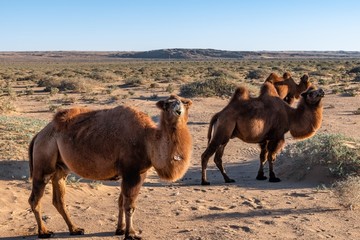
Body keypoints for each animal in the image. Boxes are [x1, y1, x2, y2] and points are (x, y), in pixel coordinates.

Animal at [28, 94, 193, 239]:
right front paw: (131, 234)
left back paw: (75, 229)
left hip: (61, 169)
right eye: (166, 104)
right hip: (43, 161)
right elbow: (129, 205)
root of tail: (38, 135)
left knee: (59, 199)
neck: (148, 139)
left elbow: (121, 202)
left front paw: (120, 229)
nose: (177, 110)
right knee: (35, 198)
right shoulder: (132, 172)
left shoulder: (134, 173)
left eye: (183, 102)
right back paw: (44, 232)